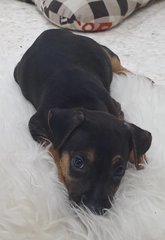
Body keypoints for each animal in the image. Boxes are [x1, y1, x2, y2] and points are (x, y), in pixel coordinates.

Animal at [14, 29, 152, 215]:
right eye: (78, 162)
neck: (85, 104)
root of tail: (53, 31)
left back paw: (145, 81)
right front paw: (61, 173)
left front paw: (139, 156)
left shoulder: (117, 109)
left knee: (117, 65)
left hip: (102, 51)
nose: (94, 209)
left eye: (120, 170)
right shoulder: (36, 124)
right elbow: (54, 147)